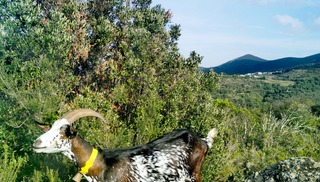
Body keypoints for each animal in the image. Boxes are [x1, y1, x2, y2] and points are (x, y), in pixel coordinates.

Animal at [32, 109, 218, 181]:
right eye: (51, 127)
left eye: (64, 133)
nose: (36, 143)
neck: (102, 164)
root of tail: (204, 141)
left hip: (193, 176)